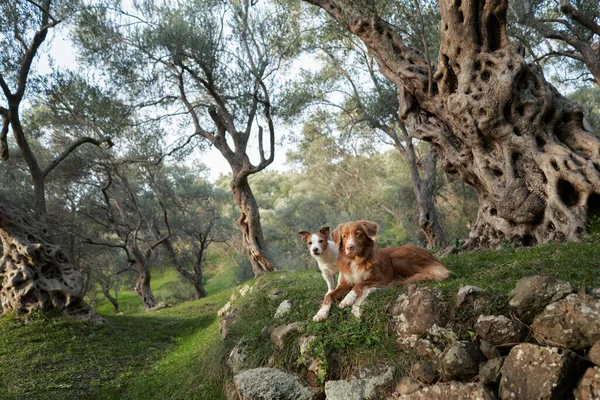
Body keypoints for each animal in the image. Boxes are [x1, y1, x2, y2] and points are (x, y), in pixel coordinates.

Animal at [314, 220, 450, 320]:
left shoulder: (379, 278)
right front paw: (320, 313)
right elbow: (329, 295)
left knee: (422, 275)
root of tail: (433, 257)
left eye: (358, 233)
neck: (355, 260)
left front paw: (348, 299)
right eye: (344, 236)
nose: (349, 247)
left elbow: (359, 284)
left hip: (397, 256)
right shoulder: (344, 284)